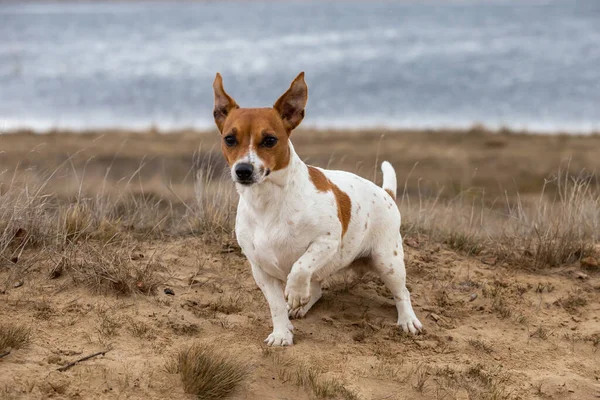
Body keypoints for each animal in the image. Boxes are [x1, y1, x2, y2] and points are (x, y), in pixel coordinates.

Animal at [211, 71, 422, 344]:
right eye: (229, 139)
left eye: (269, 140)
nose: (243, 170)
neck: (269, 203)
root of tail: (386, 194)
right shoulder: (261, 270)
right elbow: (276, 306)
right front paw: (282, 333)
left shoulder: (326, 241)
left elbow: (300, 267)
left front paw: (295, 292)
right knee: (318, 289)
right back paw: (300, 306)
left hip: (388, 262)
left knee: (402, 292)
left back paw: (407, 320)